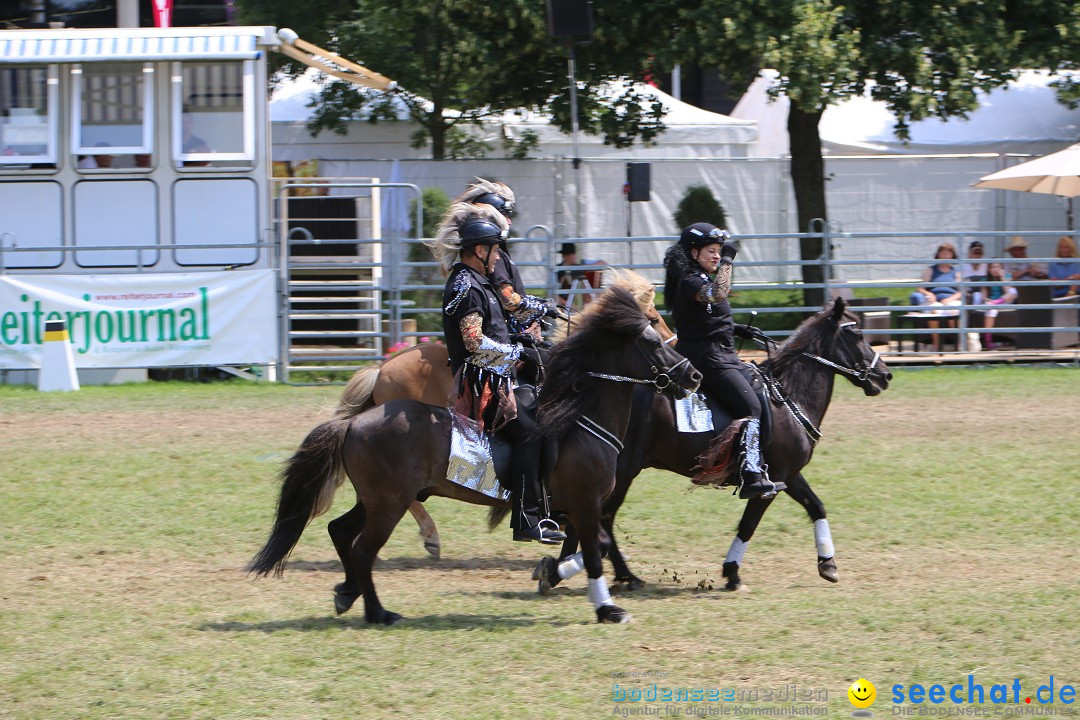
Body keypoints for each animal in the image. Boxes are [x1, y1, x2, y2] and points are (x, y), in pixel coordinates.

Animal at [247, 287, 699, 626]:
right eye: (651, 340)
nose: (692, 375)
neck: (579, 419)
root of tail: (355, 423)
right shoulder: (585, 505)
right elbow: (594, 551)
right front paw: (606, 608)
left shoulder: (577, 509)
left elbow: (593, 548)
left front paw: (552, 573)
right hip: (389, 503)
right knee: (361, 549)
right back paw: (378, 611)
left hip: (375, 500)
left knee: (340, 532)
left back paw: (348, 592)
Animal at [533, 295, 894, 595]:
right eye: (856, 334)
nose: (885, 375)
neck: (788, 396)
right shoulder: (771, 483)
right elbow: (749, 525)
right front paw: (732, 573)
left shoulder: (787, 475)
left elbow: (816, 506)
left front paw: (827, 563)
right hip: (622, 471)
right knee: (598, 519)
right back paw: (598, 573)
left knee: (590, 520)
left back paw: (579, 570)